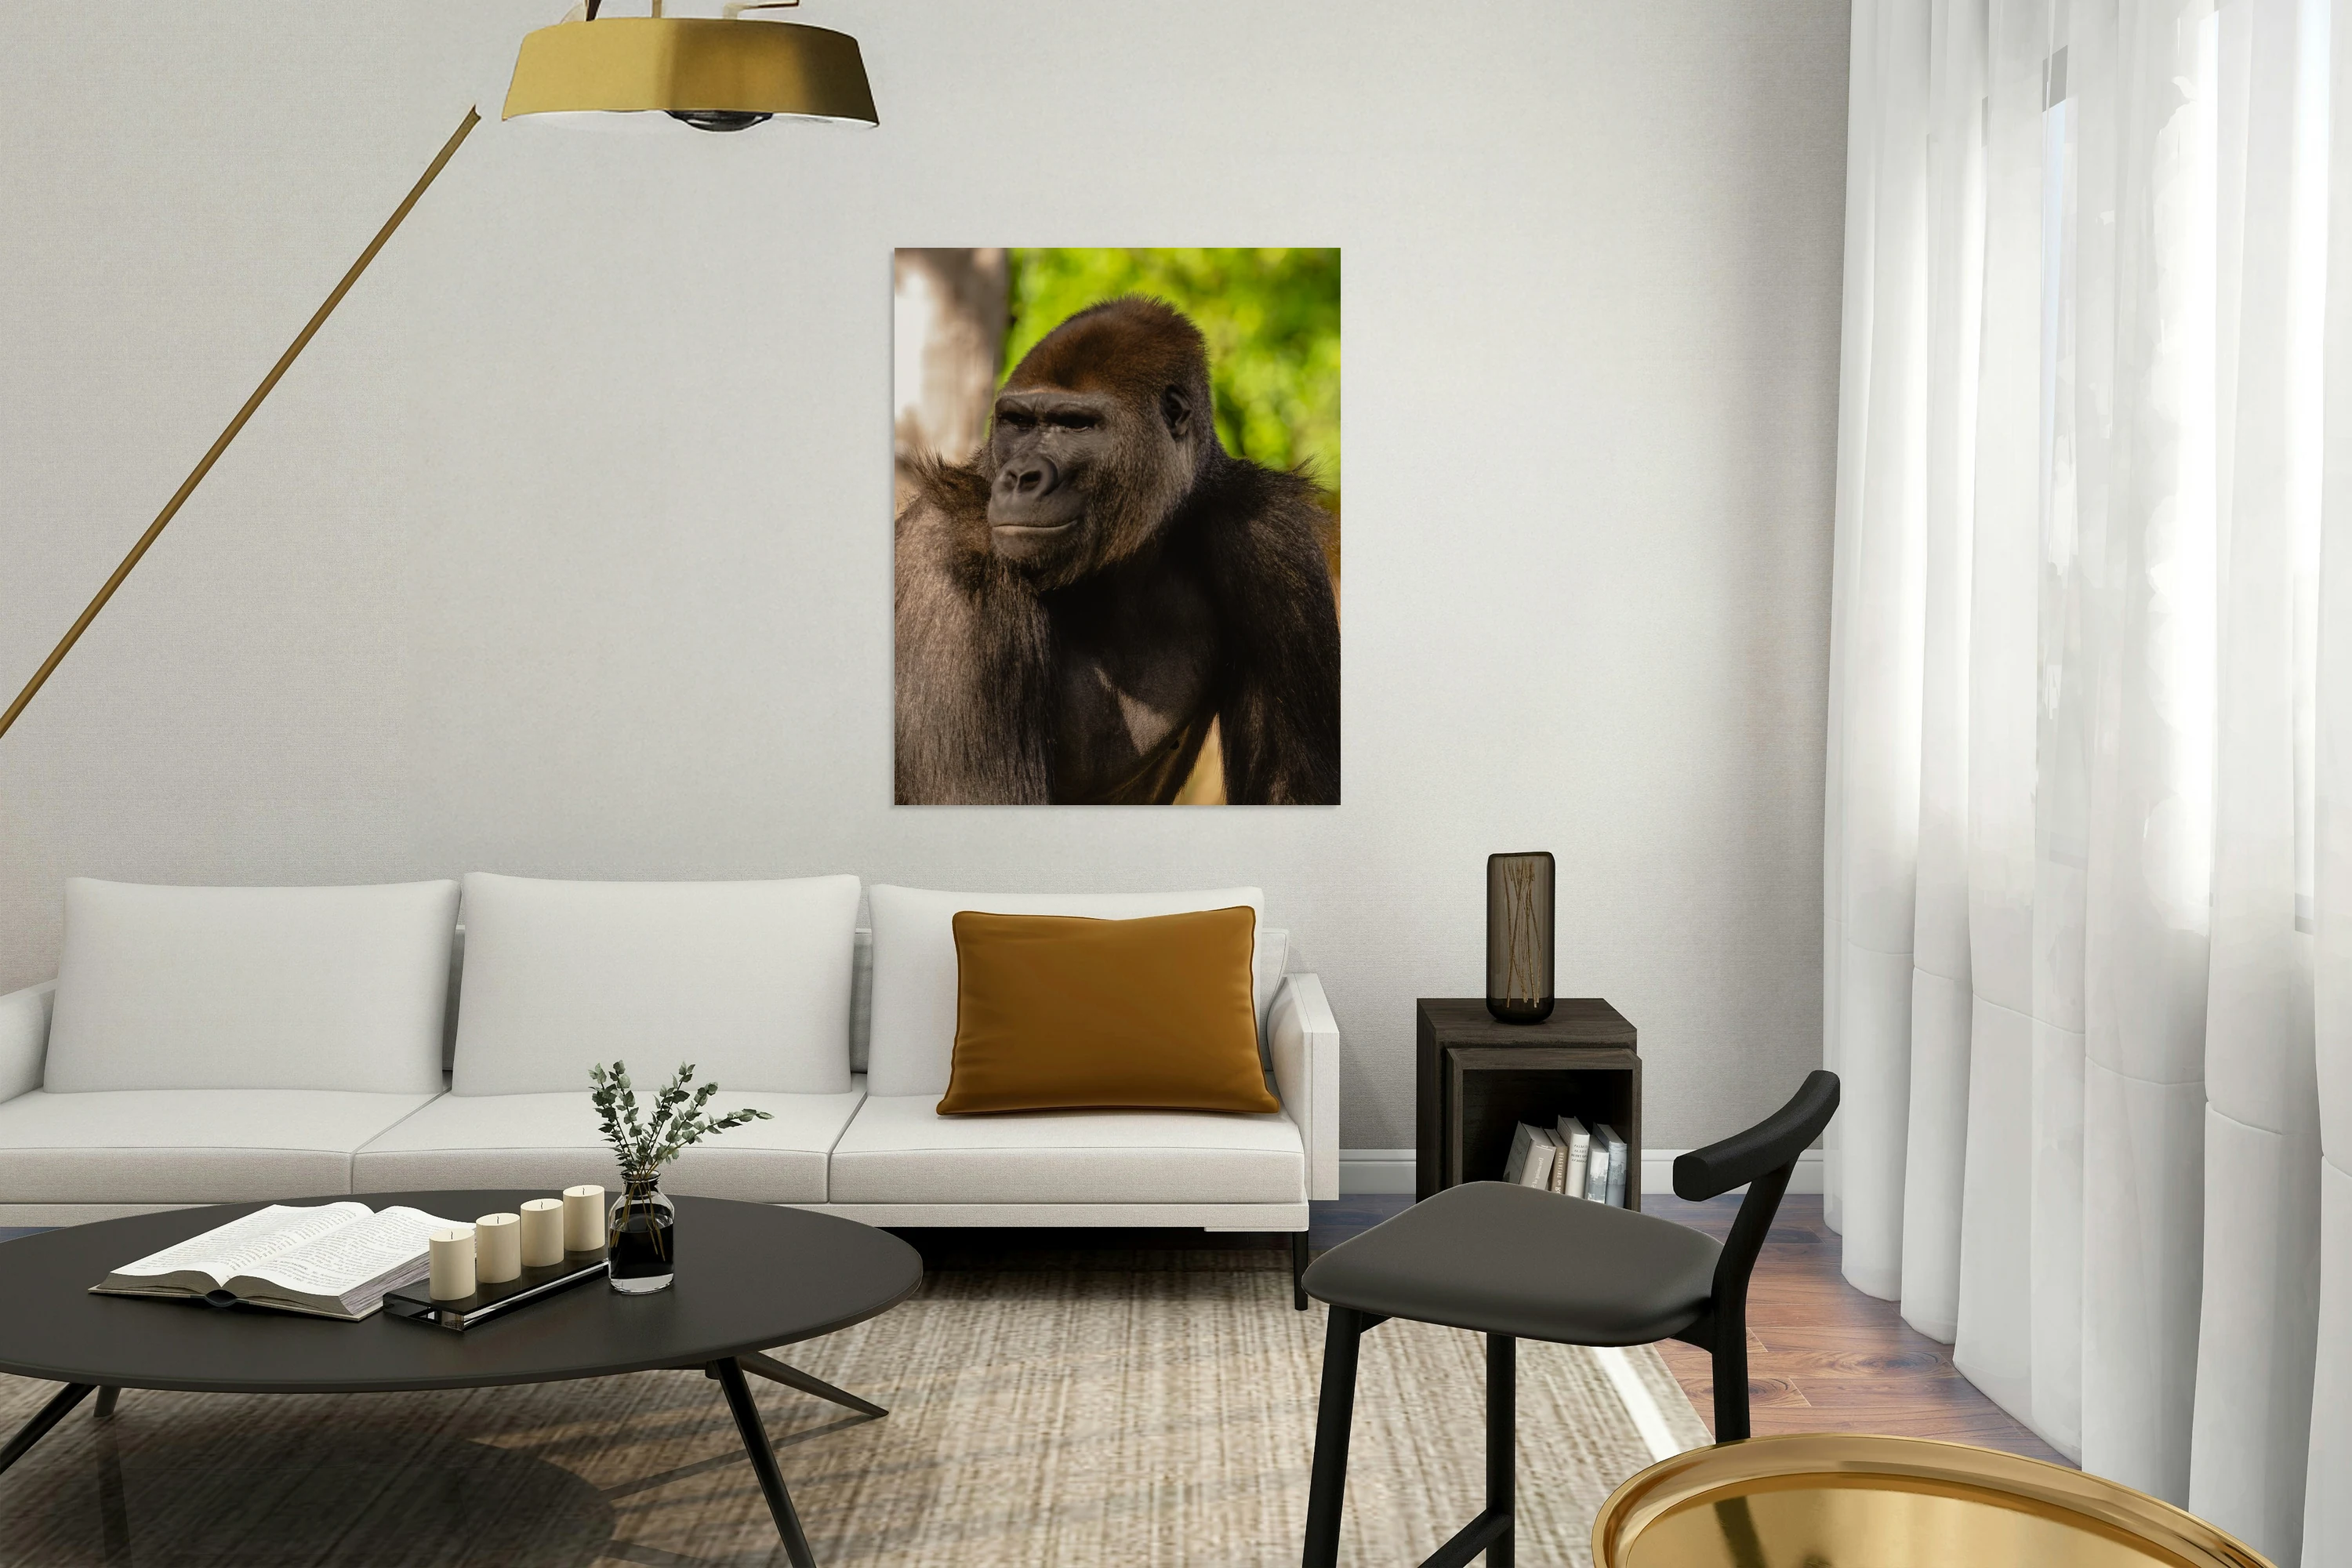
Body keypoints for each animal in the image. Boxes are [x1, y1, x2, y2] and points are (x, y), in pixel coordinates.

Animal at [894, 296, 1340, 805]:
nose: (1020, 477)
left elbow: (1293, 789)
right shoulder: (952, 562)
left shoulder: (1274, 542)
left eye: (1075, 426)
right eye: (1018, 423)